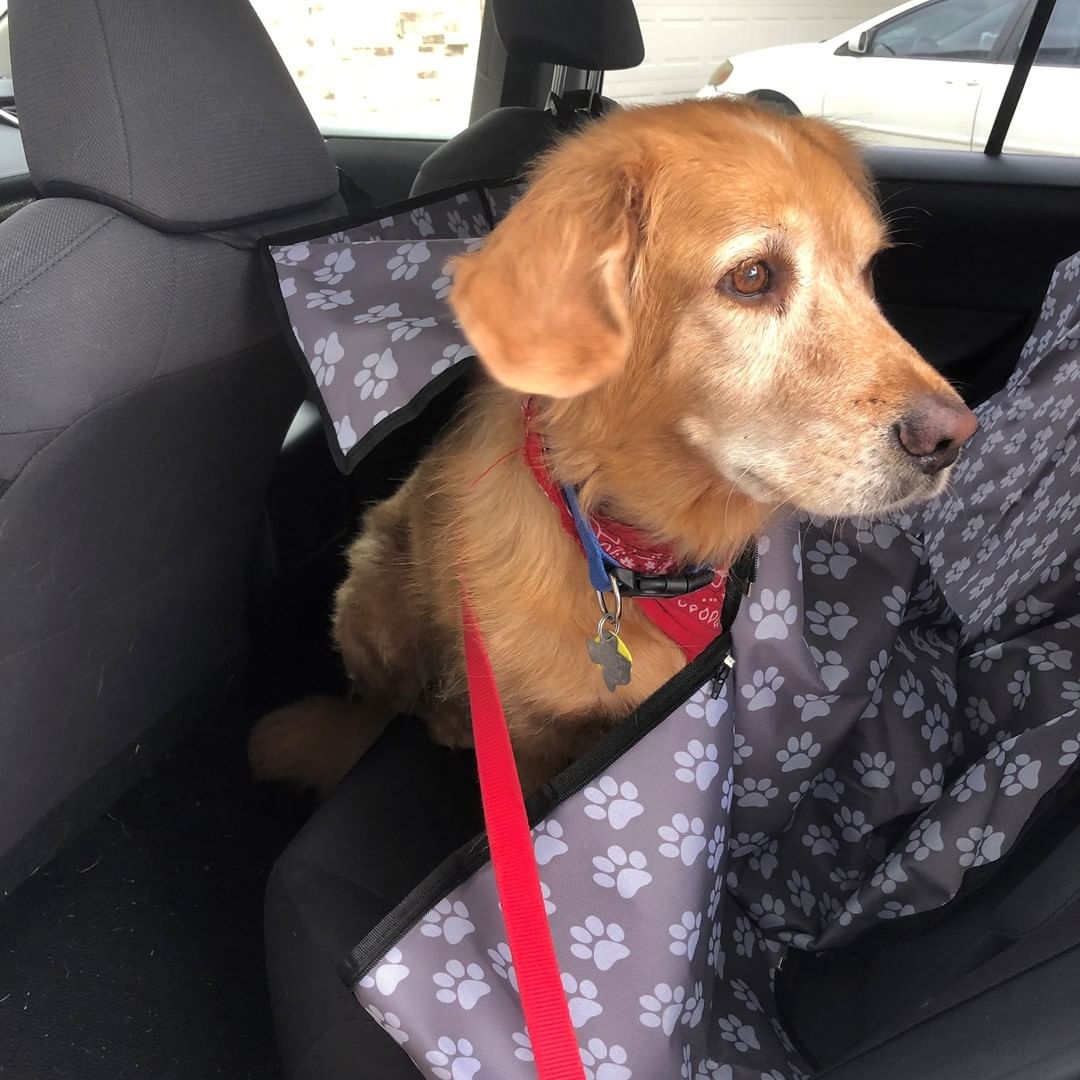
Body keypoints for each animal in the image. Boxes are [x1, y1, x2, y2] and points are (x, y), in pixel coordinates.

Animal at [247, 99, 980, 794]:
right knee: (392, 705)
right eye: (751, 276)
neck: (638, 553)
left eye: (867, 271)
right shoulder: (530, 742)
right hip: (377, 578)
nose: (953, 438)